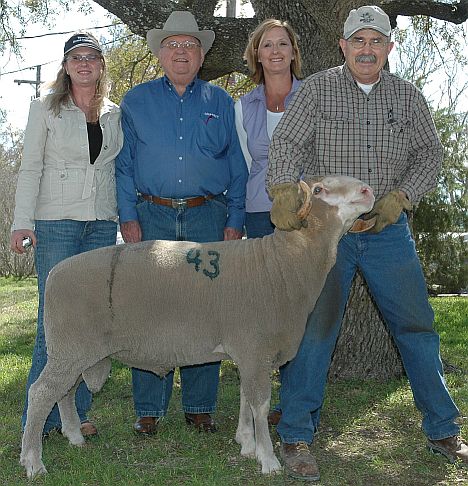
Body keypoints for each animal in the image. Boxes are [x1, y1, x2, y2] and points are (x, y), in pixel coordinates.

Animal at [20, 175, 375, 478]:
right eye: (319, 190)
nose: (368, 190)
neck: (281, 265)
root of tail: (54, 273)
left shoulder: (248, 353)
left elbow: (246, 397)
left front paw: (246, 443)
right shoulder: (255, 347)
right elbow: (259, 404)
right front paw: (268, 459)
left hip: (76, 352)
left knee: (65, 391)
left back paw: (74, 437)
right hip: (70, 347)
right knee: (41, 393)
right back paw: (33, 462)